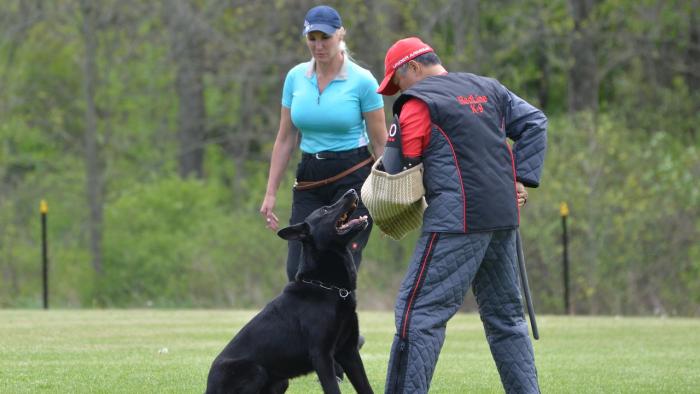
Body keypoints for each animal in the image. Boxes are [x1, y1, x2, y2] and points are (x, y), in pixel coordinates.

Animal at [205, 189, 374, 392]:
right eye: (325, 210)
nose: (352, 191)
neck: (328, 288)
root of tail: (208, 388)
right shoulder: (322, 355)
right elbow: (333, 388)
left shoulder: (349, 352)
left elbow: (366, 387)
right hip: (256, 371)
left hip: (281, 382)